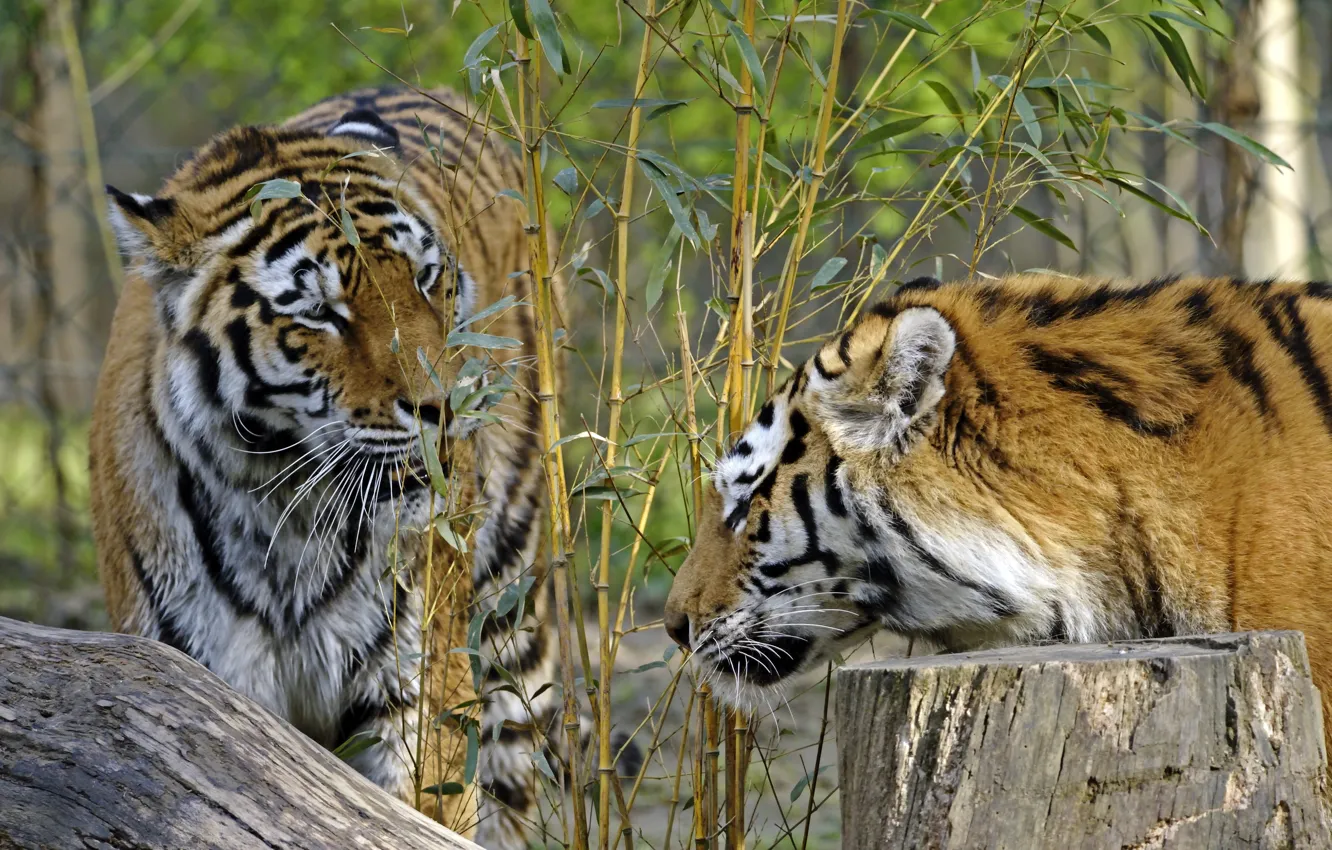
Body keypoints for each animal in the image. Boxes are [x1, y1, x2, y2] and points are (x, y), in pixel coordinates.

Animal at [92, 86, 571, 847]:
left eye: (426, 277)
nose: (444, 408)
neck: (278, 504)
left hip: (511, 614)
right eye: (320, 311)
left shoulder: (417, 693)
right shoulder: (198, 685)